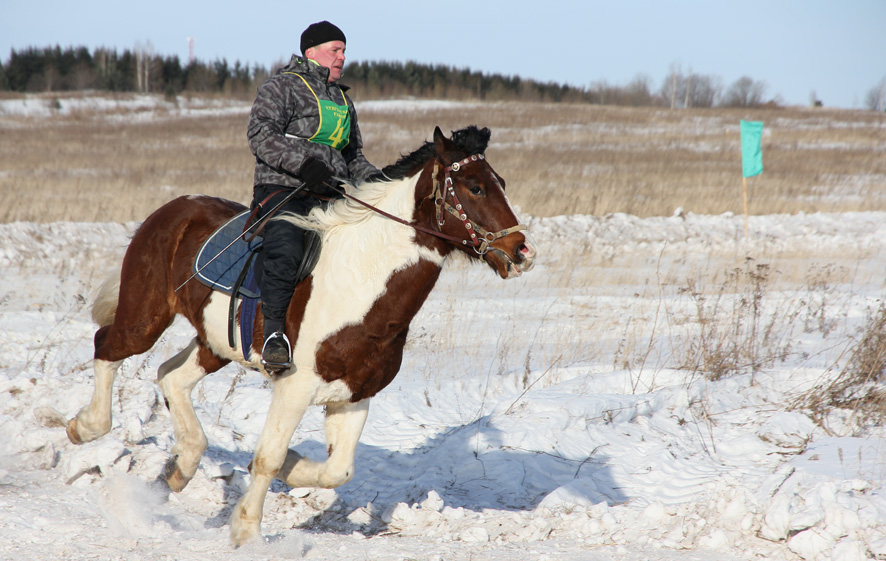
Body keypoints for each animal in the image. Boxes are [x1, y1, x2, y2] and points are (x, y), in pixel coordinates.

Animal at [66, 126, 536, 544]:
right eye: (474, 187)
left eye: (501, 183)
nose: (521, 252)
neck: (361, 280)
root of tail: (174, 207)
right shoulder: (294, 385)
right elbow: (268, 457)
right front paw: (245, 530)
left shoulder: (354, 394)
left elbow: (337, 469)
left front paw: (295, 466)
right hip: (144, 320)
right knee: (107, 345)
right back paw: (83, 427)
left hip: (215, 344)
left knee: (170, 376)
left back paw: (181, 465)